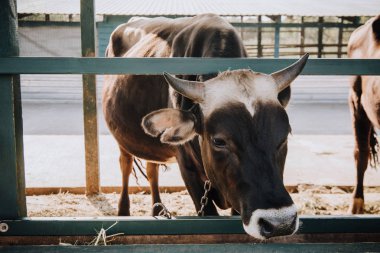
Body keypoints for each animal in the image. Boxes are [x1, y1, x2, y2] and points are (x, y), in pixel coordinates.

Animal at [102, 13, 308, 239]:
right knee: (125, 165)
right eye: (219, 141)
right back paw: (124, 211)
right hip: (123, 140)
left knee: (151, 168)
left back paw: (157, 210)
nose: (280, 223)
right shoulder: (188, 170)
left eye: (284, 137)